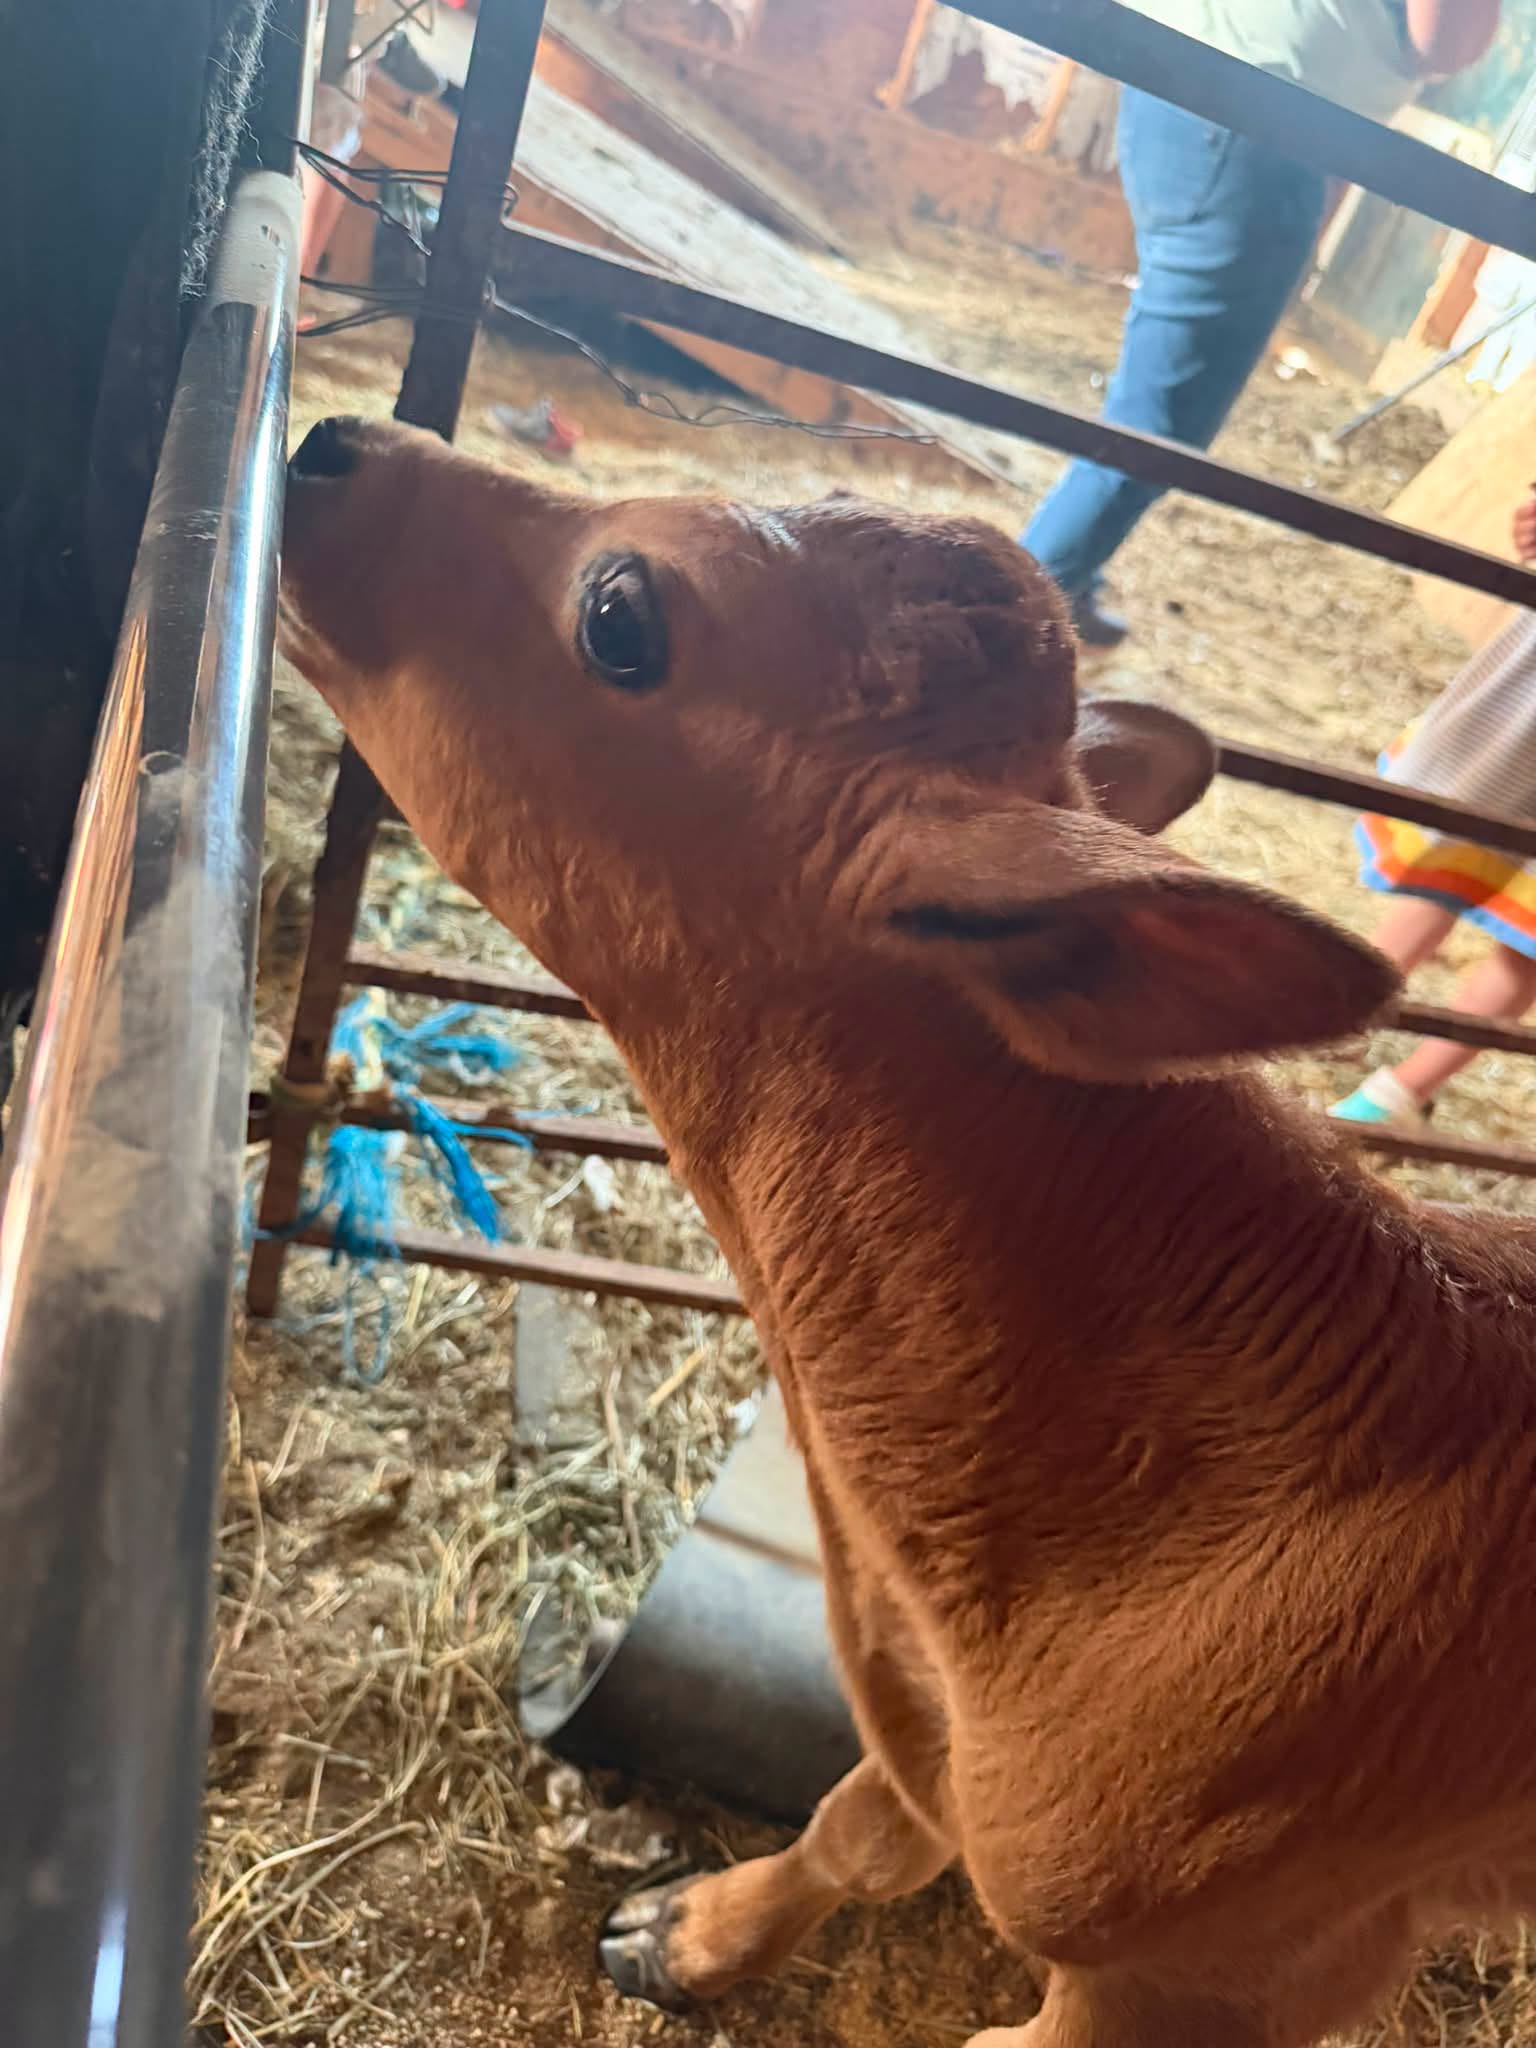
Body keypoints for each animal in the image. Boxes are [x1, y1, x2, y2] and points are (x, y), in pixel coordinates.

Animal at [279, 412, 1536, 2048]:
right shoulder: (935, 1735)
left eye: (622, 617)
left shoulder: (1215, 1969)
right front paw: (693, 1932)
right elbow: (859, 1828)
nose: (330, 439)